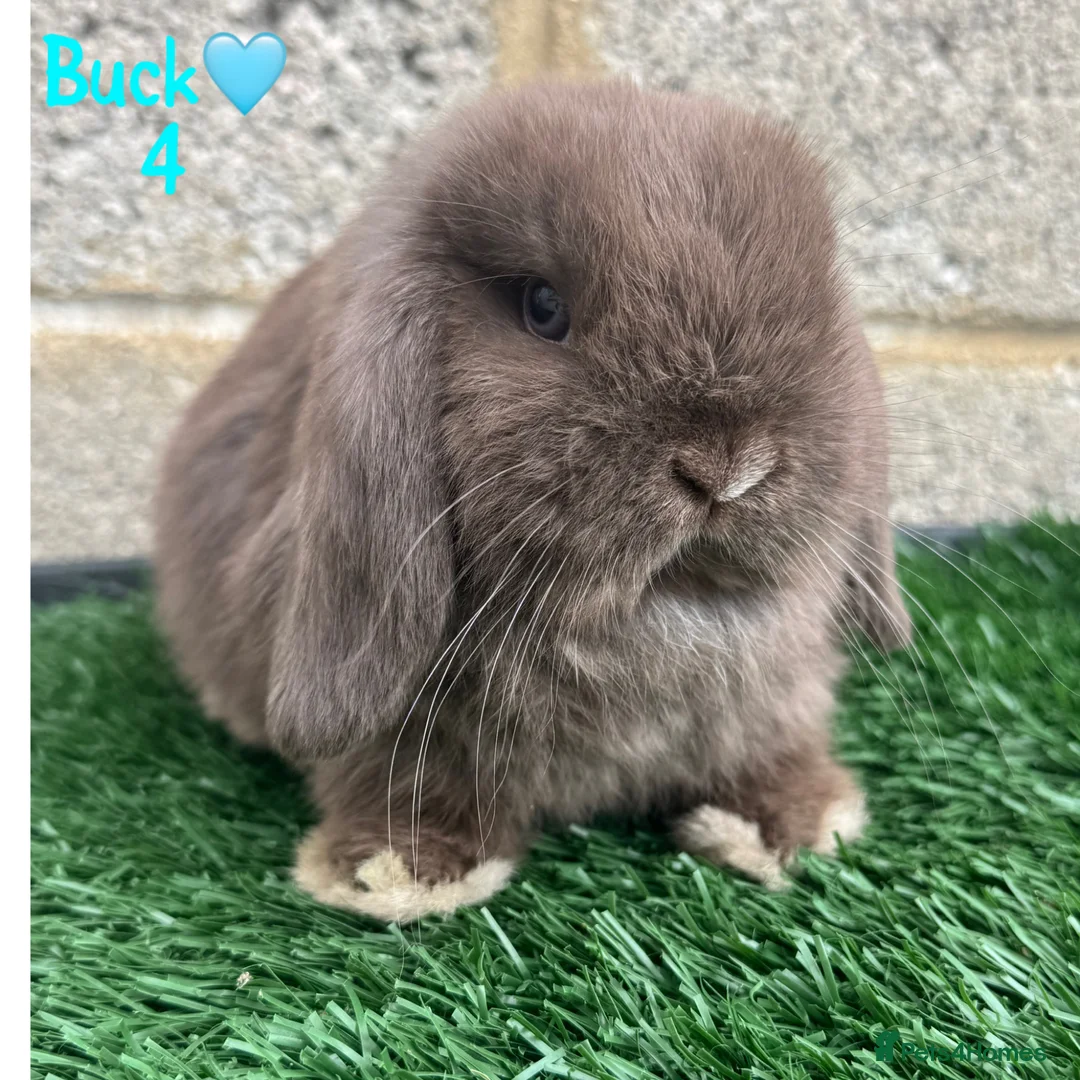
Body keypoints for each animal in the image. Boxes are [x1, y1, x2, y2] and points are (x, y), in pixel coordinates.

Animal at [154, 79, 911, 923]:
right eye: (544, 308)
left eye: (820, 300)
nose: (728, 467)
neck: (655, 616)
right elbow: (399, 782)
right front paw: (400, 869)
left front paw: (793, 819)